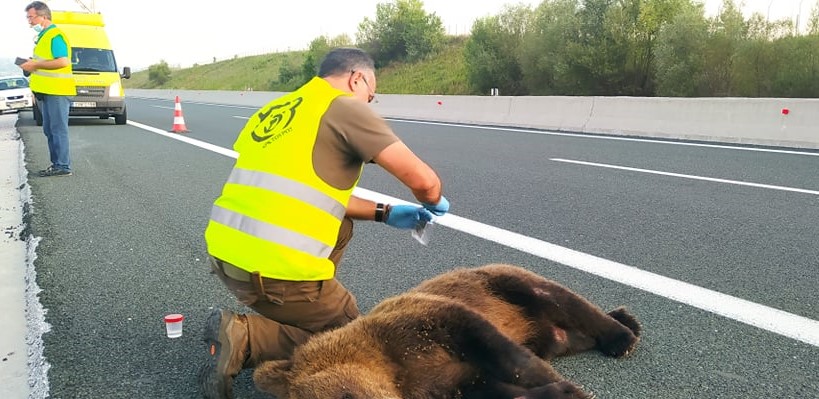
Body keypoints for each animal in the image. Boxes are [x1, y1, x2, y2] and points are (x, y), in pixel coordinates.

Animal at [253, 264, 644, 398]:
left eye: (347, 396)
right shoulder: (441, 382)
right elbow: (490, 389)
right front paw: (558, 391)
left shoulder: (422, 326)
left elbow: (501, 352)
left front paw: (568, 387)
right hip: (548, 335)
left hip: (502, 283)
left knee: (559, 298)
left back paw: (623, 333)